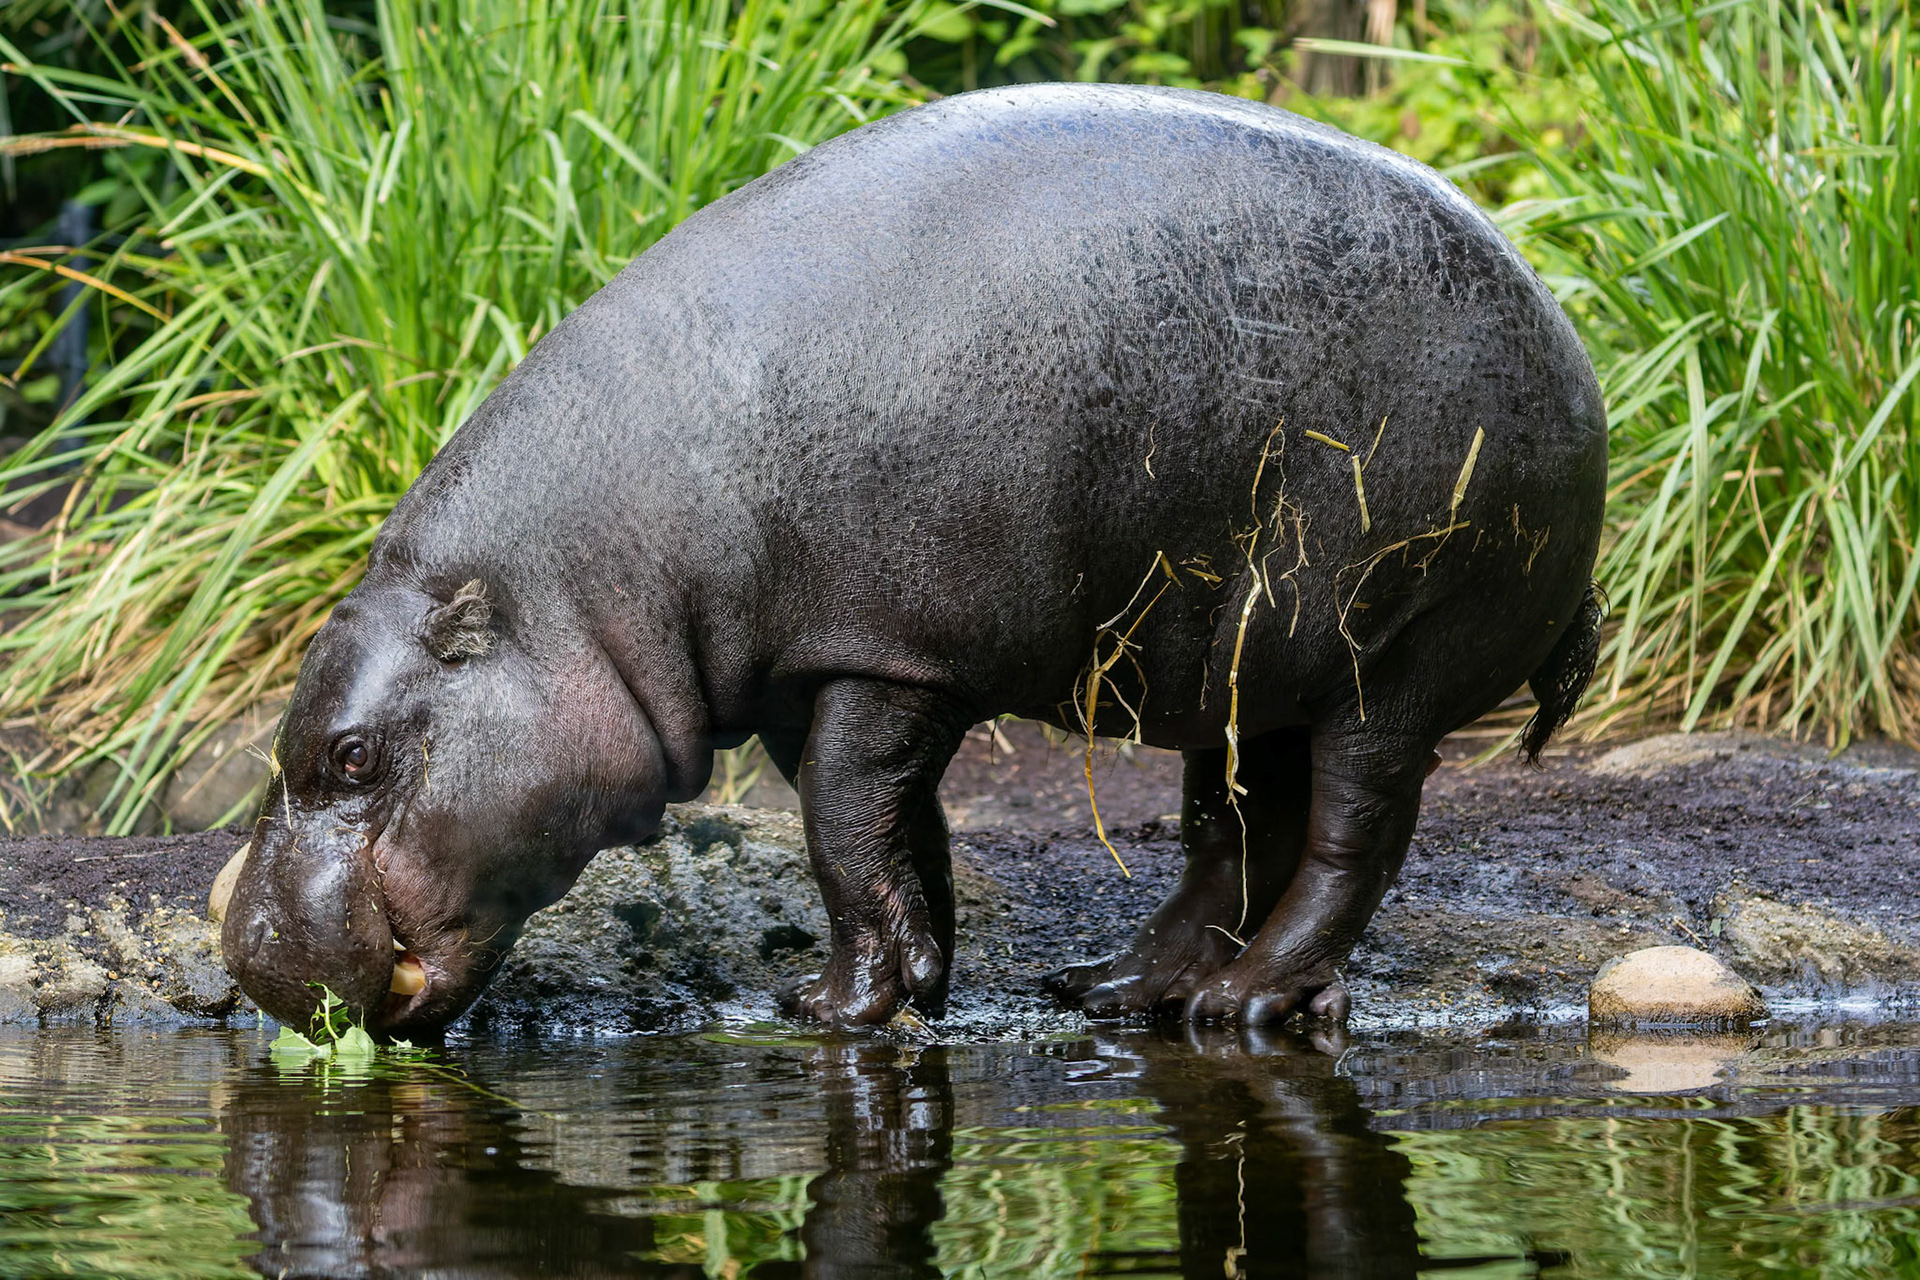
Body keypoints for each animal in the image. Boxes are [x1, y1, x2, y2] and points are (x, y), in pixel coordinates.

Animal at [221, 82, 1607, 1036]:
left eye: (352, 757)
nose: (246, 952)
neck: (586, 585)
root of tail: (1574, 344)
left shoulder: (891, 652)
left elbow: (845, 827)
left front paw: (826, 1009)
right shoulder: (819, 674)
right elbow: (893, 832)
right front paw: (920, 984)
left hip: (1394, 657)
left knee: (1350, 838)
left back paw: (1248, 1002)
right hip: (1247, 661)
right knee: (1234, 826)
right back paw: (1118, 987)